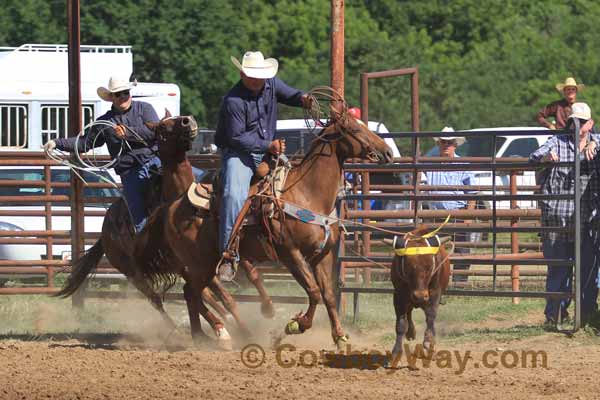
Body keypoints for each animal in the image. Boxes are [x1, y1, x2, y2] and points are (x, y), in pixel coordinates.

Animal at [390, 225, 450, 362]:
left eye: (429, 267)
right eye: (408, 267)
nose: (420, 296)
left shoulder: (435, 293)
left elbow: (431, 316)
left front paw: (429, 341)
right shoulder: (398, 296)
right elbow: (401, 324)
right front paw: (396, 353)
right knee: (409, 311)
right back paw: (411, 332)